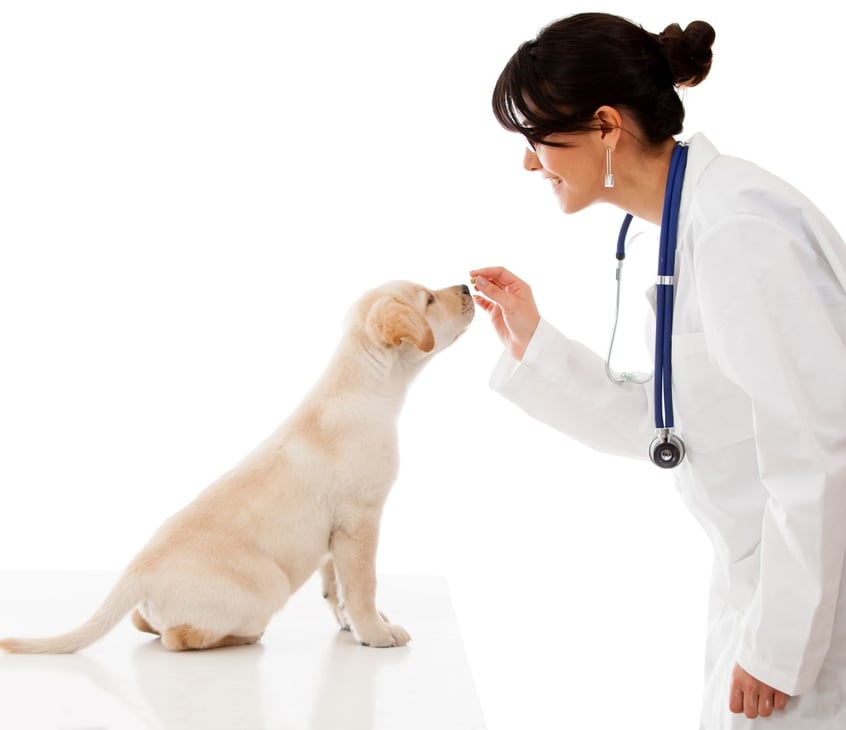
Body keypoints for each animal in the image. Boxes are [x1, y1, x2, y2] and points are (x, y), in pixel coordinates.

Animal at [0, 280, 476, 656]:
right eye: (429, 299)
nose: (467, 287)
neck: (364, 386)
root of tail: (136, 572)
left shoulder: (335, 533)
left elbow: (336, 587)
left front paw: (350, 624)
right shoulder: (360, 520)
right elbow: (362, 586)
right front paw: (376, 633)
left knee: (146, 624)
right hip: (268, 586)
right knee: (178, 637)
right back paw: (243, 637)